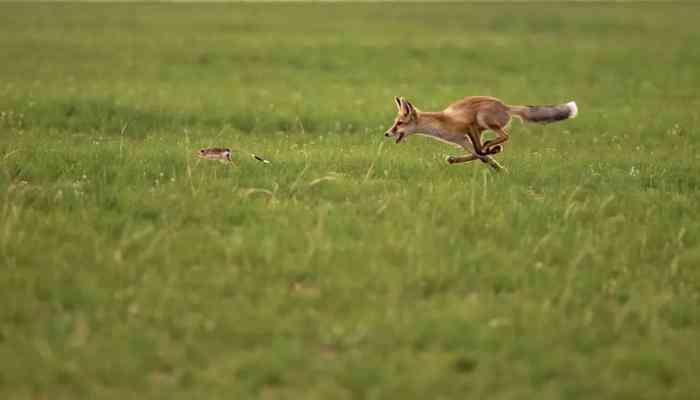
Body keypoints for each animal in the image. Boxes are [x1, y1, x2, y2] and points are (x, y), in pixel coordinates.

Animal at [386, 97, 576, 172]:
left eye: (399, 123)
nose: (387, 133)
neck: (442, 122)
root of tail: (505, 105)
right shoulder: (463, 140)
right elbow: (479, 155)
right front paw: (500, 169)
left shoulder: (470, 127)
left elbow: (480, 150)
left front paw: (493, 151)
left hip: (484, 119)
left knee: (505, 135)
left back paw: (493, 146)